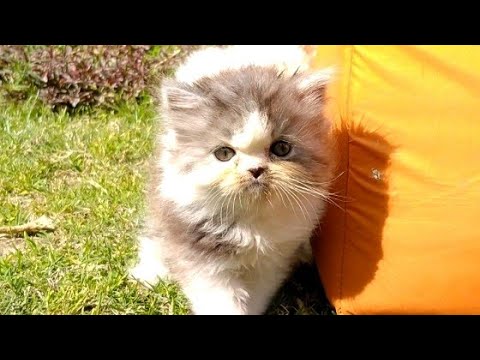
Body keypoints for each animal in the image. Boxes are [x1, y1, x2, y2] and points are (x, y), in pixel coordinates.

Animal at [129, 45, 336, 316]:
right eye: (224, 154)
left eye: (281, 149)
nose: (255, 170)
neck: (250, 223)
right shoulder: (198, 251)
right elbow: (219, 299)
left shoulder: (271, 261)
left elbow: (256, 294)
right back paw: (149, 273)